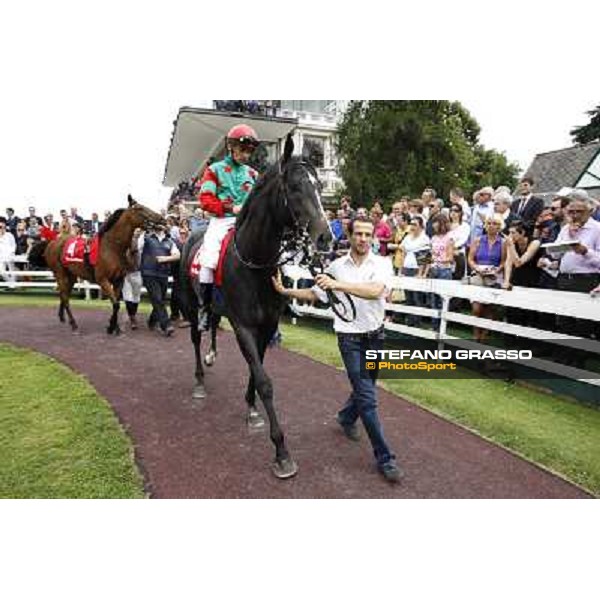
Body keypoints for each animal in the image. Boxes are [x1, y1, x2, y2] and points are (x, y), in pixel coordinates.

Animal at [28, 195, 164, 332]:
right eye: (140, 208)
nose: (161, 218)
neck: (111, 247)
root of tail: (51, 242)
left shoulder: (118, 280)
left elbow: (116, 302)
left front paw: (113, 326)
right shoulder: (102, 280)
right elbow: (116, 303)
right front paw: (112, 328)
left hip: (71, 275)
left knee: (64, 294)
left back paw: (62, 317)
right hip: (60, 273)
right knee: (65, 297)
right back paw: (73, 324)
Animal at [180, 135, 336, 478]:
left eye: (319, 185)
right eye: (294, 186)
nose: (325, 238)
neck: (254, 265)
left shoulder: (266, 327)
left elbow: (257, 368)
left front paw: (251, 410)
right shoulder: (243, 326)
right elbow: (265, 381)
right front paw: (281, 451)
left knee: (212, 325)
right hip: (190, 303)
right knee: (196, 336)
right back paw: (199, 380)